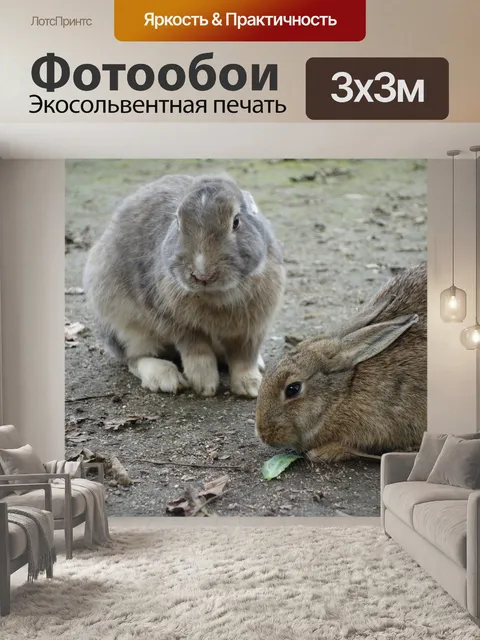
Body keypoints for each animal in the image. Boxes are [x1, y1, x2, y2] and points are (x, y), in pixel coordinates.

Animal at [83, 173, 285, 398]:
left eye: (236, 222)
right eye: (178, 222)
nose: (202, 274)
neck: (215, 294)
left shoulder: (251, 329)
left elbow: (244, 357)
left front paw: (251, 387)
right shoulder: (179, 325)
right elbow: (197, 352)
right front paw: (205, 385)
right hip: (123, 325)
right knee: (134, 358)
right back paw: (166, 378)